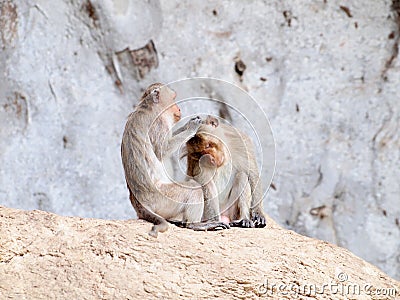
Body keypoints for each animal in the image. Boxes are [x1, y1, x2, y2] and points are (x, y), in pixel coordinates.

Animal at [119, 82, 228, 237]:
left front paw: (188, 124)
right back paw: (195, 225)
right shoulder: (158, 123)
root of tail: (140, 204)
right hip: (163, 200)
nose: (179, 108)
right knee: (194, 188)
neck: (148, 107)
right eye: (173, 98)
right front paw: (191, 127)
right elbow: (163, 150)